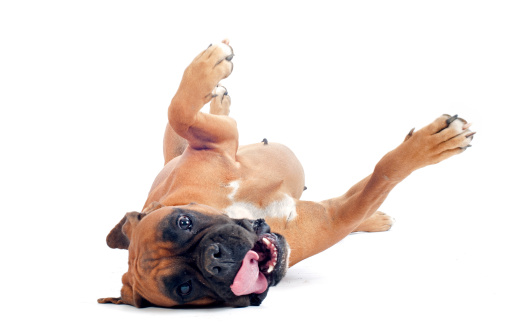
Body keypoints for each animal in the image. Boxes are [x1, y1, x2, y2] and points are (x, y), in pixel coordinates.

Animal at [98, 40, 476, 308]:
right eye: (185, 288)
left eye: (183, 222)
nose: (215, 259)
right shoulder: (337, 217)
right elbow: (382, 175)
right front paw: (434, 146)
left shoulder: (217, 140)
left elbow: (180, 112)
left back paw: (218, 96)